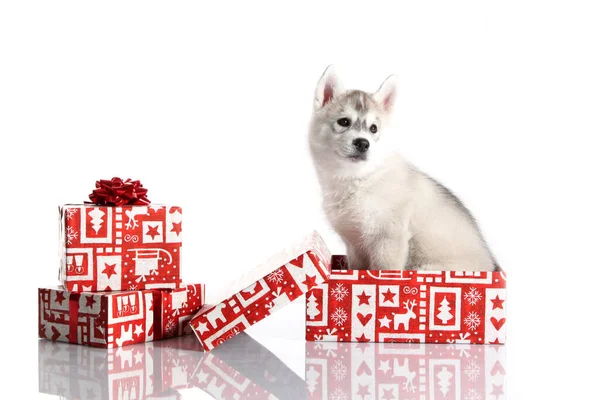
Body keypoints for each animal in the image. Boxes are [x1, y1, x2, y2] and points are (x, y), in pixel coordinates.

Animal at [310, 66, 496, 272]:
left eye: (373, 128)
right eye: (343, 122)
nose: (363, 143)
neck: (359, 180)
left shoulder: (389, 240)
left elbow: (385, 271)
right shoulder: (355, 246)